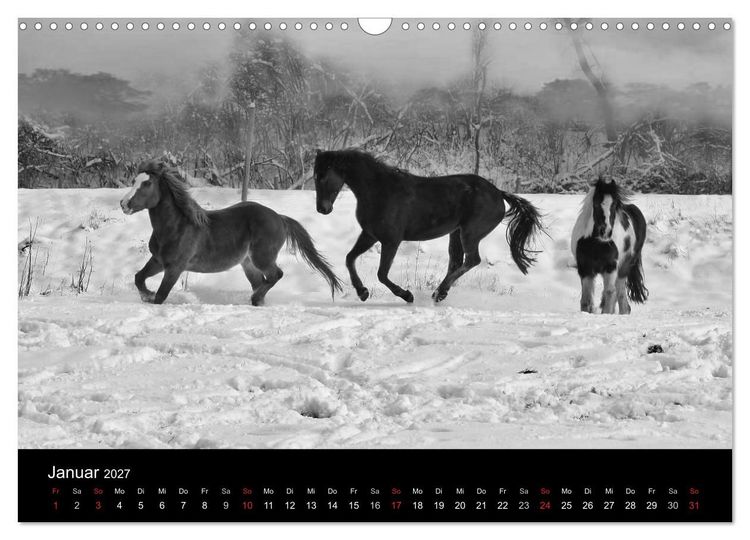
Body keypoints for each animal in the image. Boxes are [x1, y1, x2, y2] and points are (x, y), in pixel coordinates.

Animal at [120, 160, 342, 306]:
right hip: (248, 264)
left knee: (275, 275)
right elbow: (139, 278)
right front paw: (146, 295)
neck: (176, 227)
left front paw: (150, 296)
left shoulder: (175, 267)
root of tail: (280, 217)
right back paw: (257, 300)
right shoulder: (158, 260)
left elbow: (161, 296)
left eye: (147, 183)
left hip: (262, 258)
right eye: (134, 181)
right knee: (262, 282)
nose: (124, 204)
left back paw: (255, 298)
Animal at [313, 149, 544, 303]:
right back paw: (440, 293)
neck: (380, 190)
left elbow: (382, 274)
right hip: (456, 233)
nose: (322, 209)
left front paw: (407, 295)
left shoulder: (391, 240)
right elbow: (349, 258)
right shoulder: (370, 235)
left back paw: (439, 292)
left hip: (470, 233)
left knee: (472, 260)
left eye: (324, 176)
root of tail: (498, 193)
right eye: (316, 175)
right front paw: (362, 292)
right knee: (456, 262)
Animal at [570, 176, 648, 314]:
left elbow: (610, 294)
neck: (596, 244)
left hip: (623, 268)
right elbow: (586, 301)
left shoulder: (610, 267)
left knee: (620, 298)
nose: (605, 232)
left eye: (615, 204)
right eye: (596, 203)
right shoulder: (585, 269)